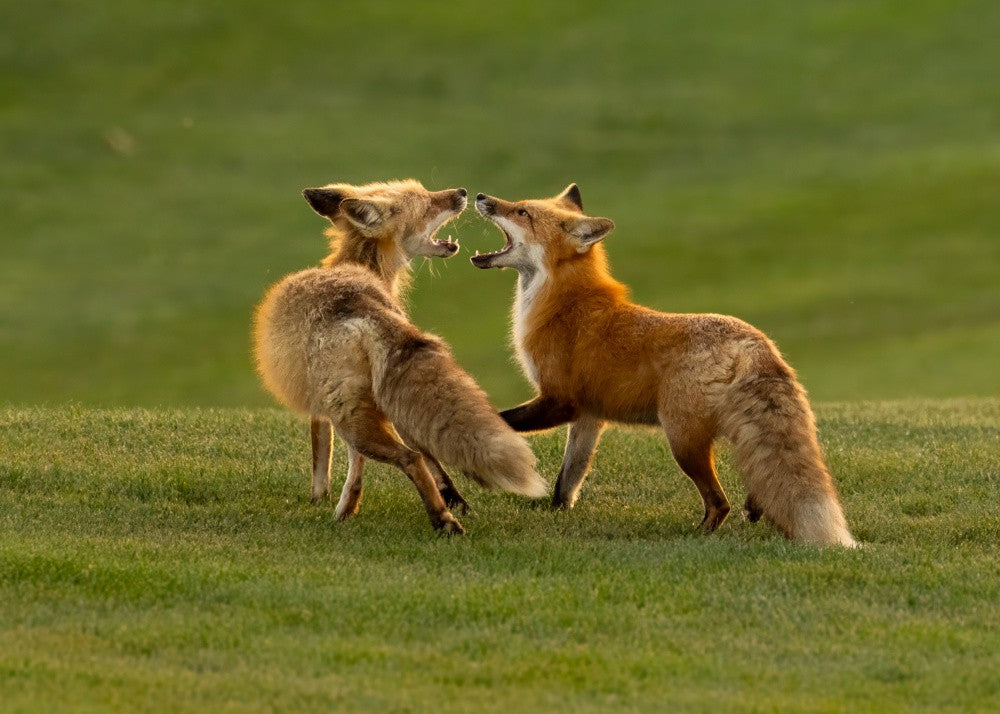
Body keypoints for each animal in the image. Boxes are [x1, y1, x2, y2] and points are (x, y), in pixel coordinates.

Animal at [253, 179, 546, 534]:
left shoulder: (323, 410)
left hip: (351, 419)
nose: (462, 193)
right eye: (428, 204)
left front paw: (320, 500)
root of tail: (360, 300)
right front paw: (453, 498)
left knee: (408, 457)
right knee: (408, 456)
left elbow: (321, 458)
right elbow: (410, 462)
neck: (362, 269)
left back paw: (441, 520)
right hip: (368, 407)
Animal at [470, 184, 856, 547]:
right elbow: (568, 479)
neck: (562, 303)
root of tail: (754, 341)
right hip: (726, 432)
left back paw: (697, 535)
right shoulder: (589, 416)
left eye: (522, 212)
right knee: (757, 481)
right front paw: (557, 514)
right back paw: (755, 509)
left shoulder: (560, 399)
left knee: (719, 503)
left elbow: (503, 422)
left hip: (683, 441)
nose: (480, 196)